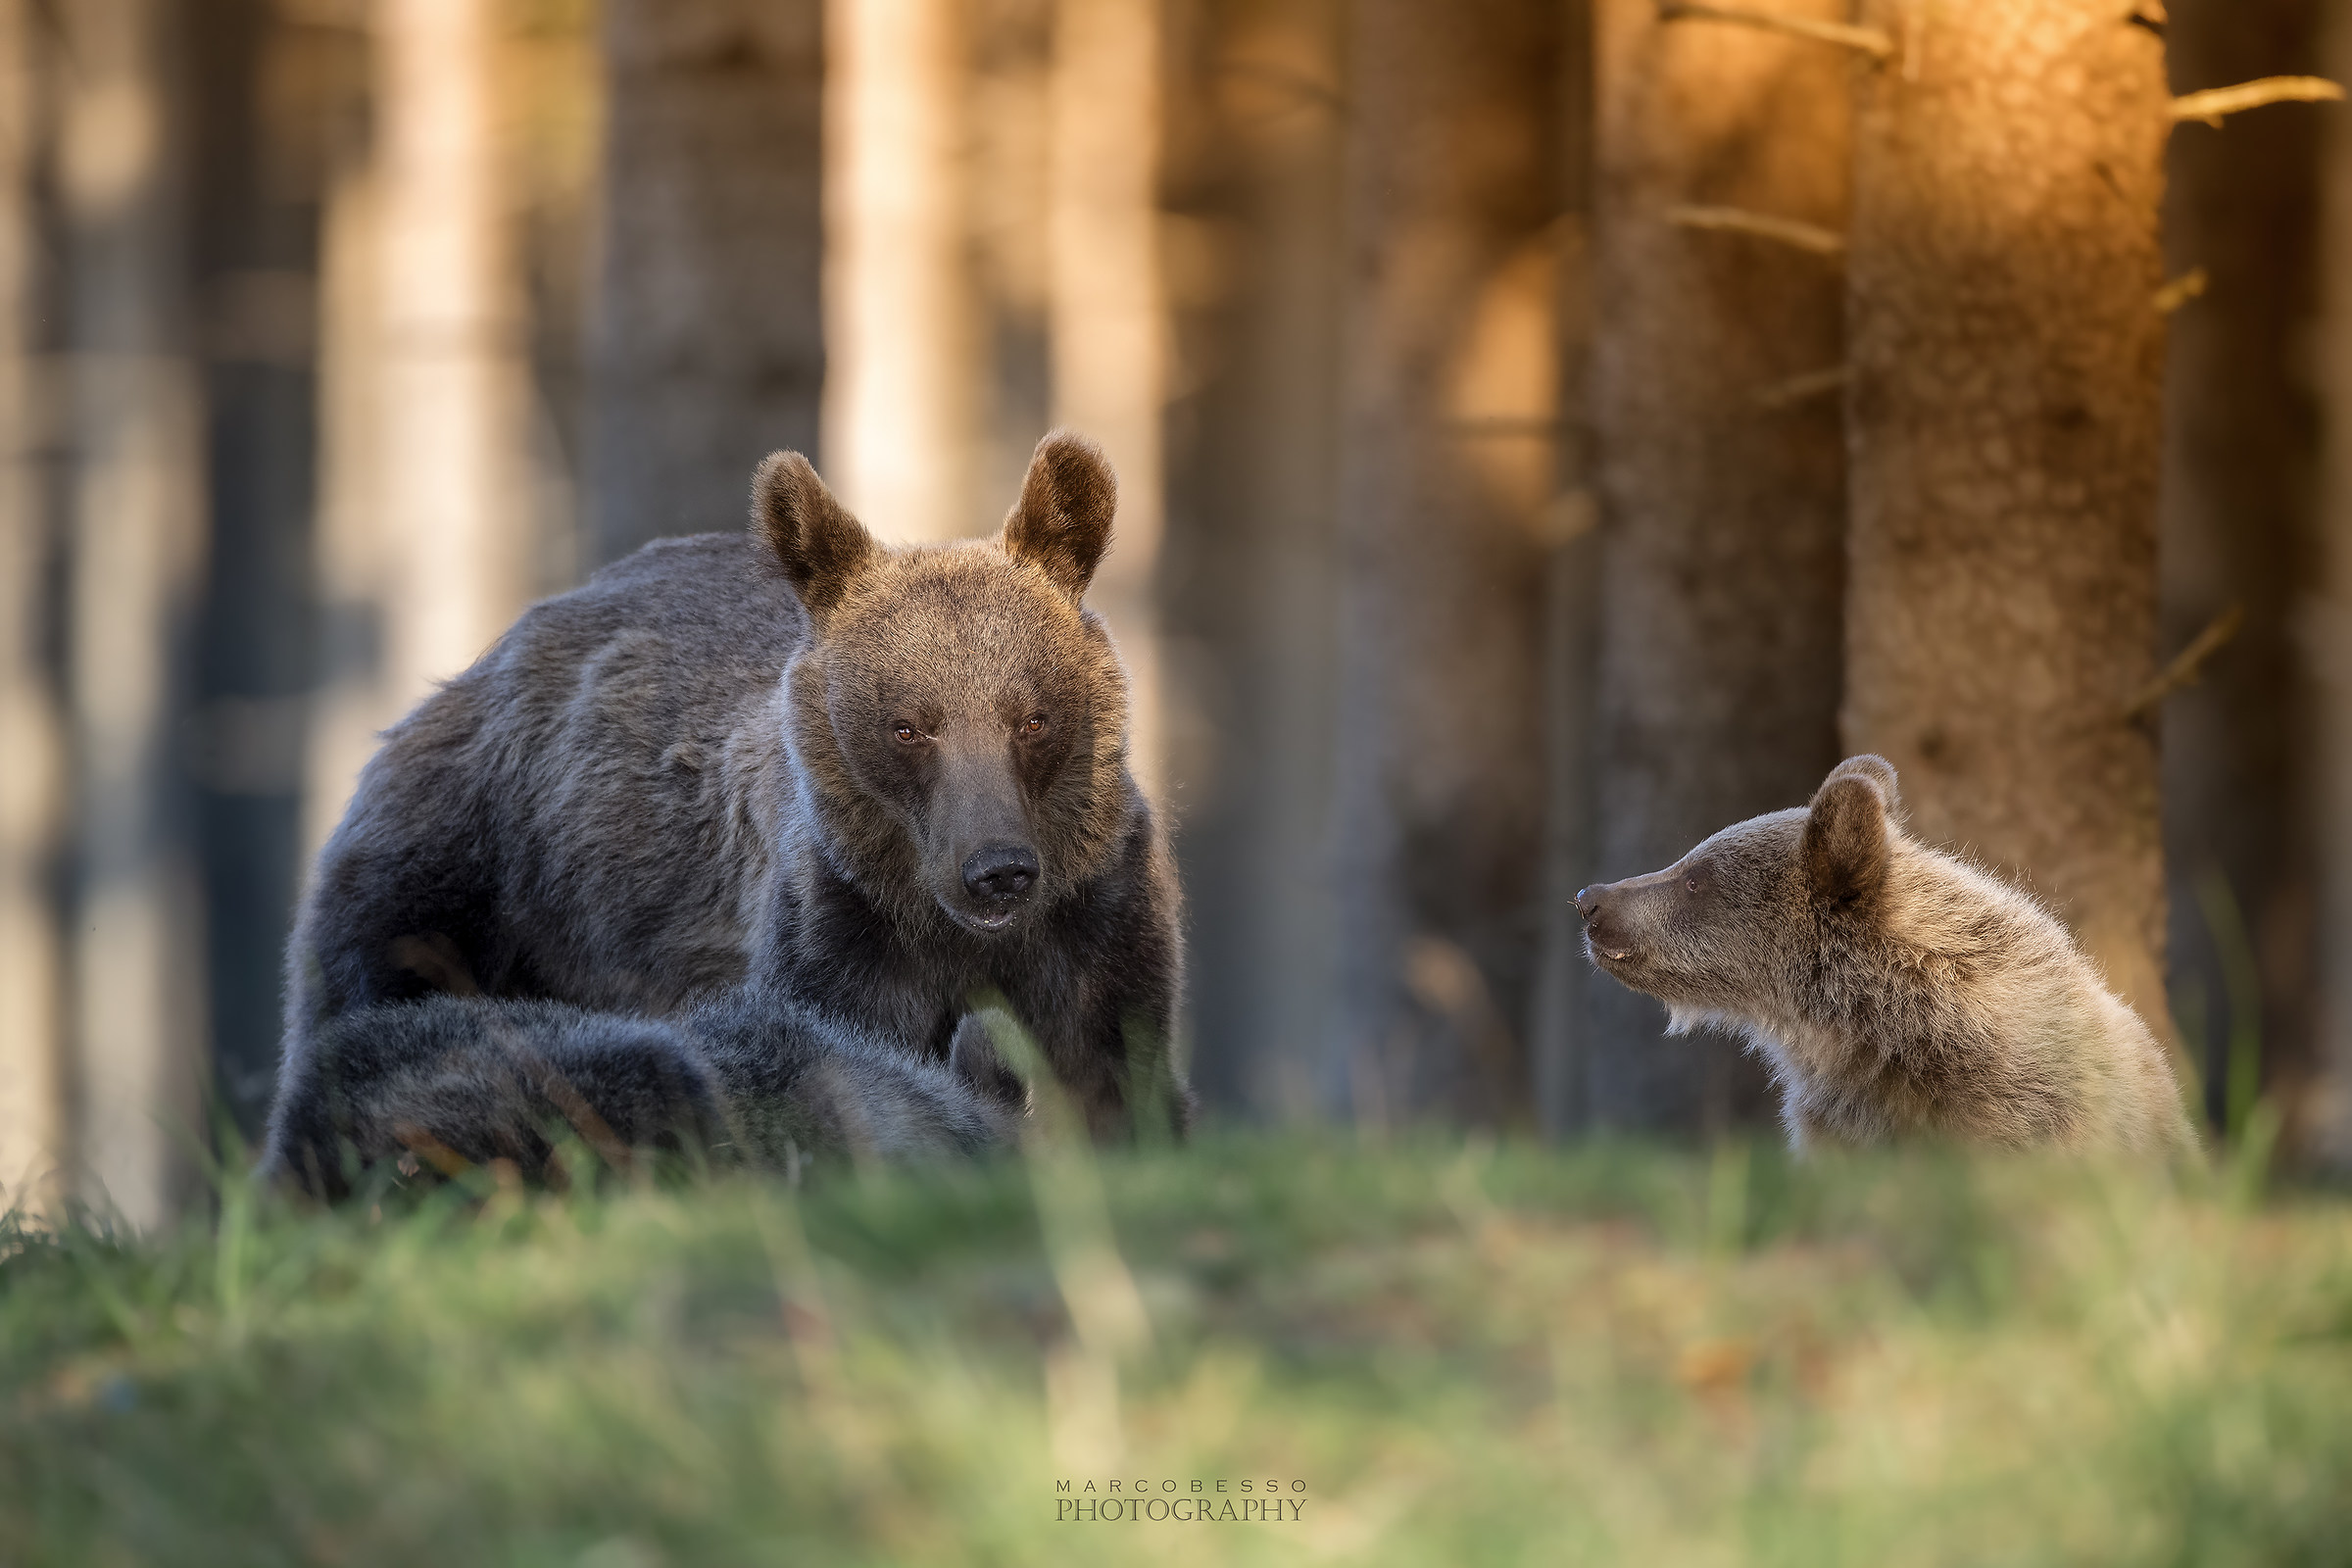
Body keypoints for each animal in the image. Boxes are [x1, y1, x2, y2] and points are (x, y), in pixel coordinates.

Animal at [261, 429, 1187, 1192]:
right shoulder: (839, 934)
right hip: (456, 874)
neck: (955, 934)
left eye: (1033, 716)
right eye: (907, 724)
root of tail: (463, 676)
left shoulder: (1095, 920)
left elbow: (1116, 1062)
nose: (997, 871)